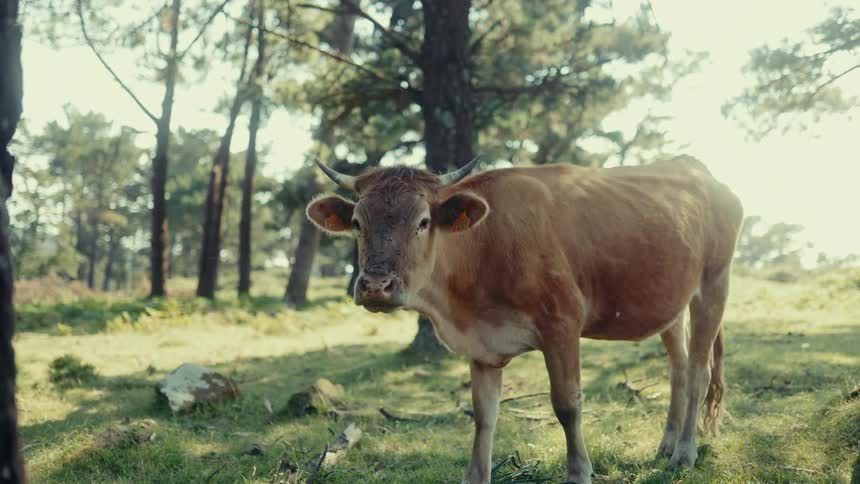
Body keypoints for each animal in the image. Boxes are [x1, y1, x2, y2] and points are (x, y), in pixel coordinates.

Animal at [306, 155, 743, 484]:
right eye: (357, 223)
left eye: (423, 222)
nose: (376, 285)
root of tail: (696, 169)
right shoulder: (481, 345)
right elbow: (484, 415)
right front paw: (476, 476)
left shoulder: (562, 324)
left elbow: (567, 405)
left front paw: (579, 473)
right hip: (671, 303)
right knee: (680, 369)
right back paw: (668, 444)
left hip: (714, 284)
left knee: (700, 372)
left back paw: (685, 452)